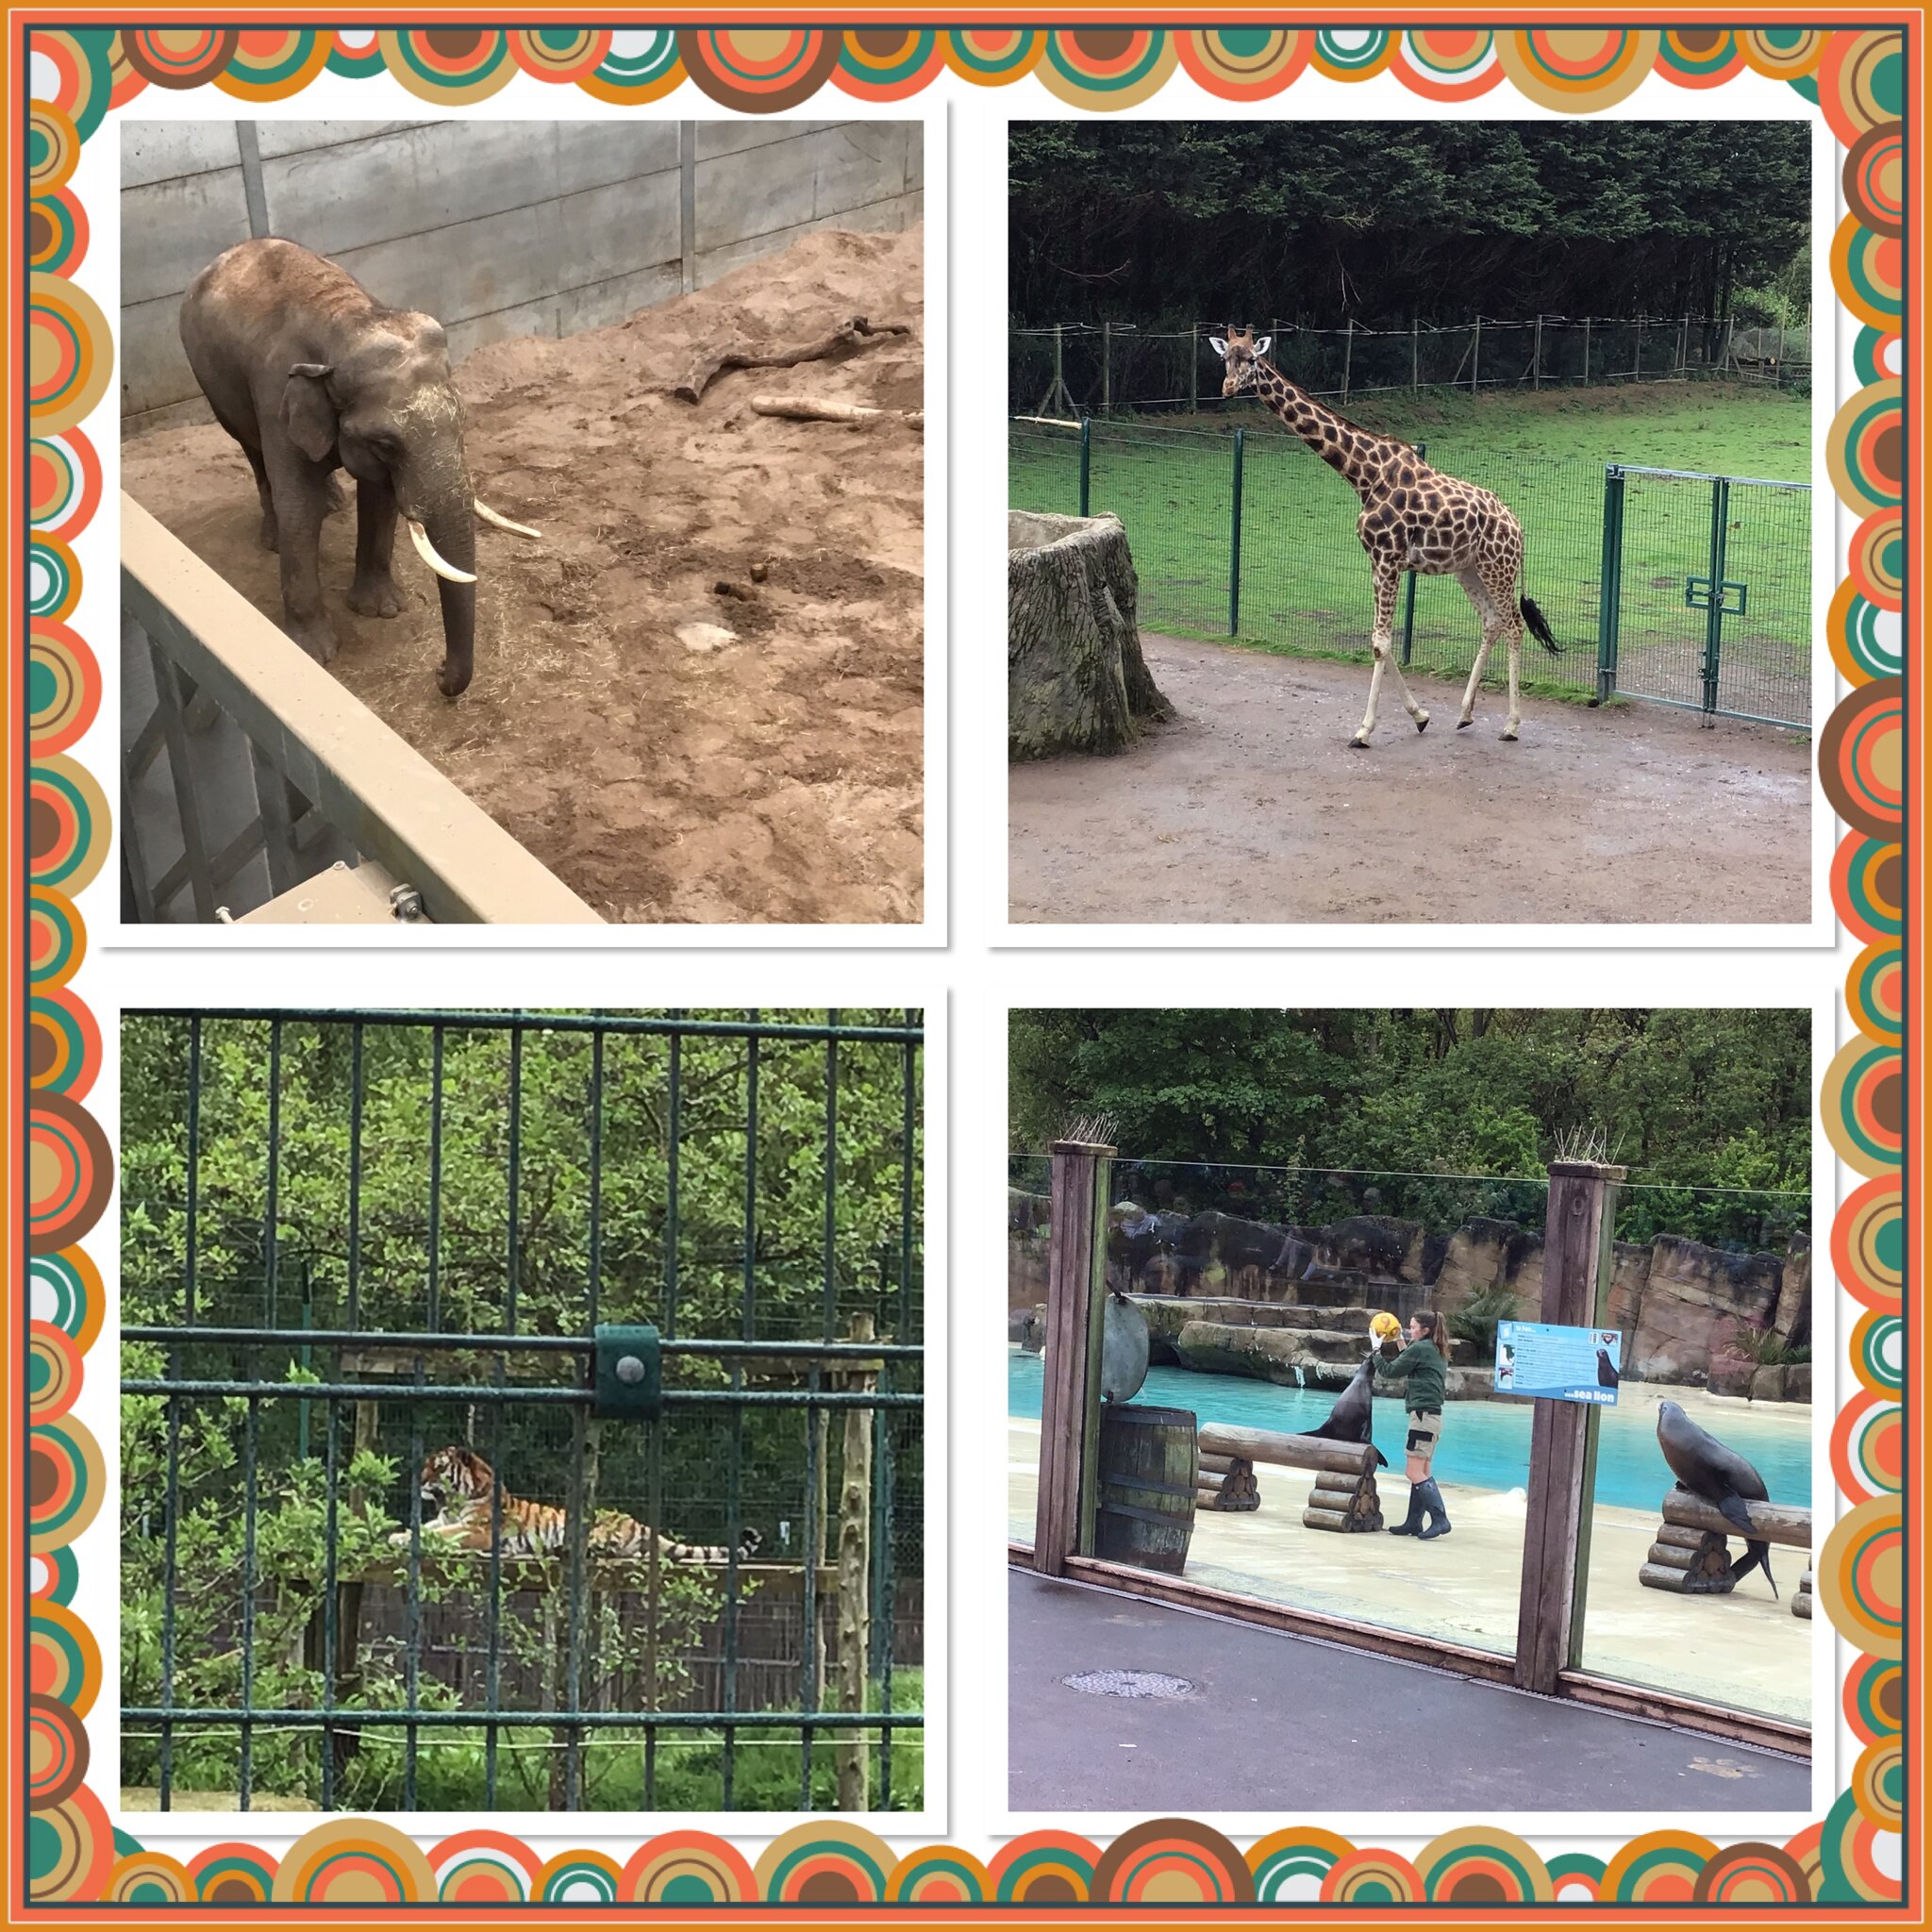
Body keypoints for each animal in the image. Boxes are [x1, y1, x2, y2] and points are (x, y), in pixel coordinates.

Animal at [177, 237, 541, 699]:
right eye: (386, 443)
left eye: (463, 421)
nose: (438, 671)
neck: (347, 321)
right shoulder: (278, 396)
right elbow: (300, 508)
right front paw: (314, 654)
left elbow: (380, 498)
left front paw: (382, 610)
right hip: (212, 382)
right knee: (250, 447)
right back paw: (274, 535)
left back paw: (334, 501)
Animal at [388, 1453, 757, 1568]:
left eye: (437, 1467)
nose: (418, 1478)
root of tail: (638, 1523)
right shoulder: (441, 1518)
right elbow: (428, 1528)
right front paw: (396, 1535)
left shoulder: (476, 1529)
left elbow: (446, 1534)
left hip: (596, 1530)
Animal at [1213, 325, 1560, 745]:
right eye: (1225, 357)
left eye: (1251, 358)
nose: (1228, 387)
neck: (1364, 475)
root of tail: (1518, 528)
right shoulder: (1377, 561)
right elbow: (1380, 640)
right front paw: (1420, 716)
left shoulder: (1388, 558)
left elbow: (1380, 642)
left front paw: (1364, 730)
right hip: (1469, 569)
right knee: (1492, 622)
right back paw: (1464, 715)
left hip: (1499, 567)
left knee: (1513, 625)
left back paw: (1510, 725)